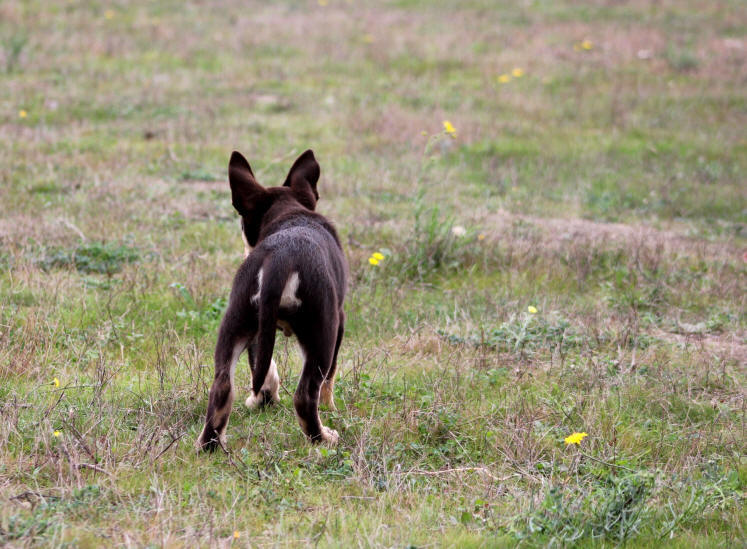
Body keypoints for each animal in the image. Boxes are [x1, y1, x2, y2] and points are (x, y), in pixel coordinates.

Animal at [199, 149, 350, 450]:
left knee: (222, 386)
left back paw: (209, 444)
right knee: (306, 394)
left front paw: (262, 398)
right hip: (322, 329)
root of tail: (281, 257)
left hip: (238, 319)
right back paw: (323, 437)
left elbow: (262, 365)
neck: (290, 214)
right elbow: (330, 377)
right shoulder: (339, 320)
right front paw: (330, 408)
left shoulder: (260, 328)